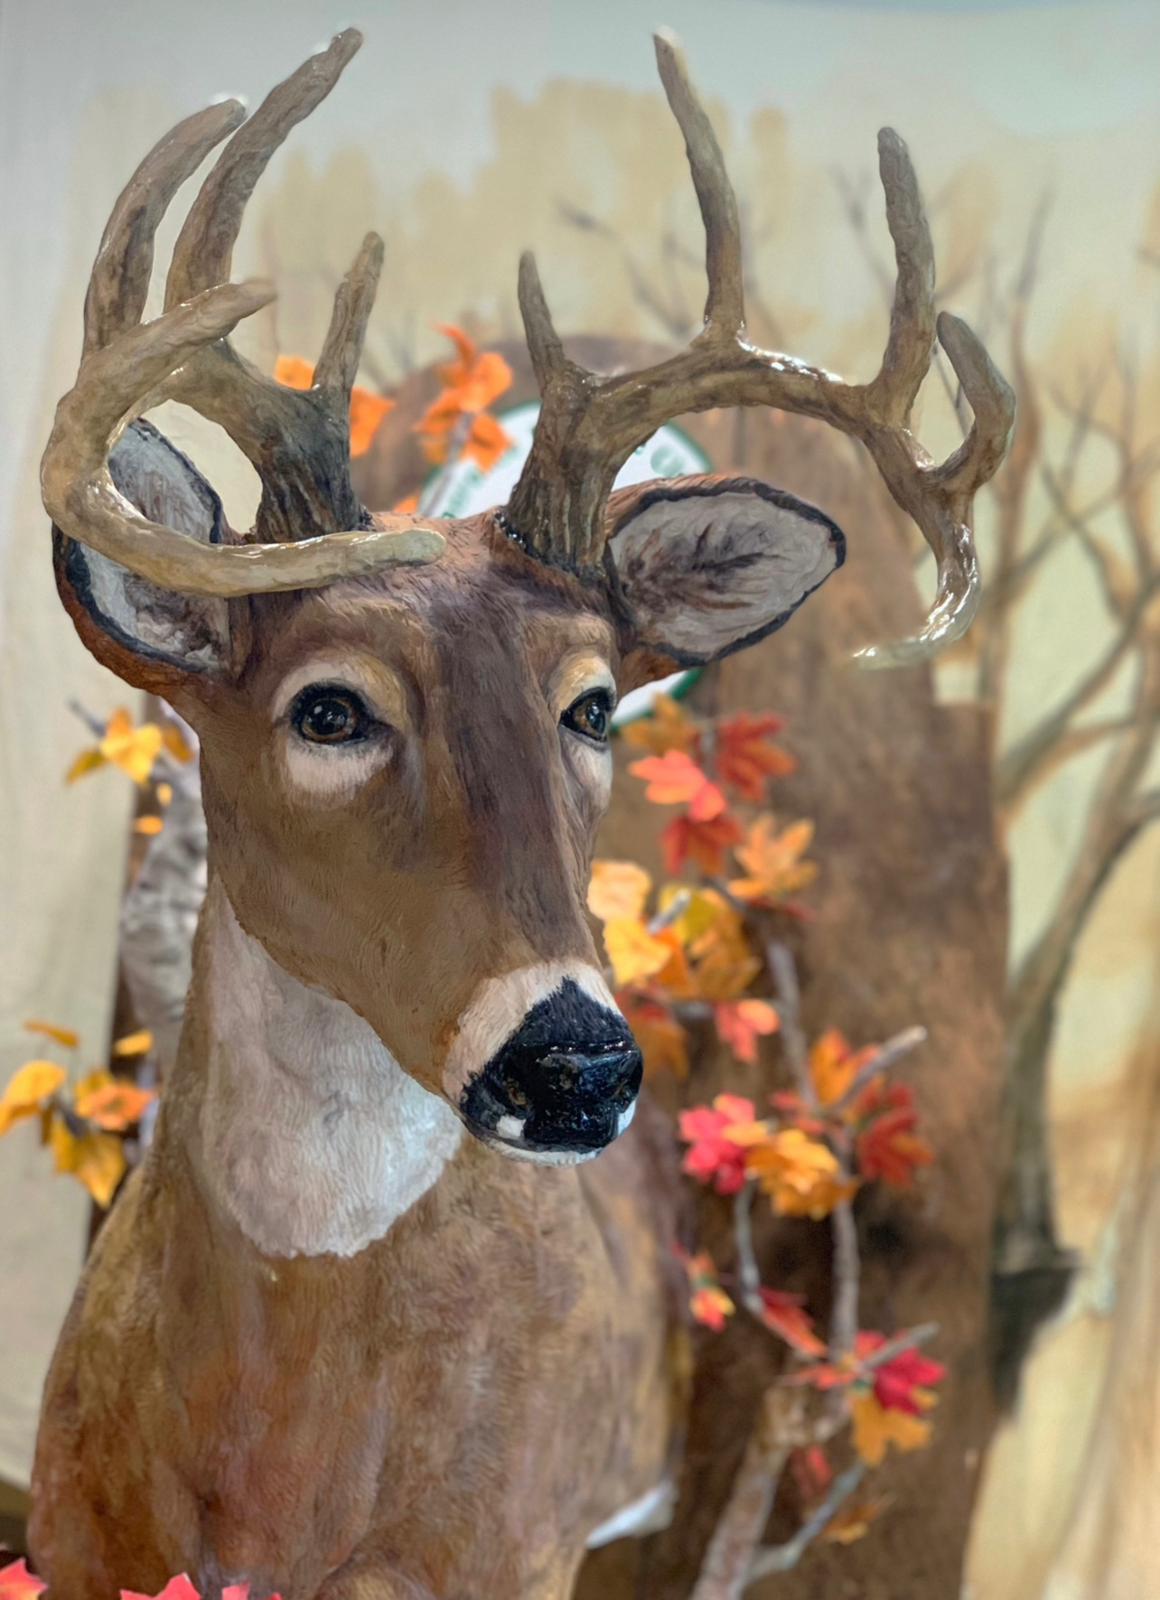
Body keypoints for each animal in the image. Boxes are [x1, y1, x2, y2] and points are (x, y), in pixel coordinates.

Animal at [31, 26, 1013, 1600]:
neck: (280, 1448)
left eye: (594, 704)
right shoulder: (70, 1529)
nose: (572, 1066)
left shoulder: (512, 1545)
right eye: (328, 708)